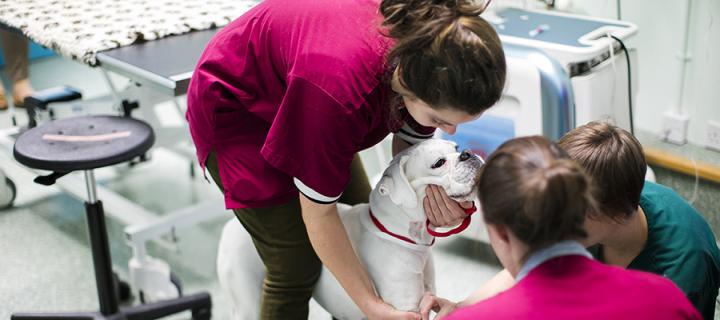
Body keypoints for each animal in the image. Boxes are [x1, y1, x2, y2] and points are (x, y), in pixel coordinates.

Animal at [217, 139, 480, 318]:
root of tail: (229, 225)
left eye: (456, 148)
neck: (399, 235)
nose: (467, 153)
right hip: (248, 302)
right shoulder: (406, 309)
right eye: (438, 163)